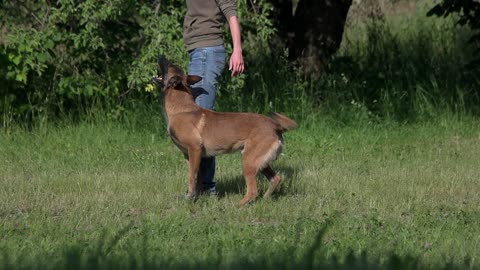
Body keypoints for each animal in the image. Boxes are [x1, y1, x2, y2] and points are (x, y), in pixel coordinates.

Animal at [154, 56, 296, 206]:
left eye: (168, 64)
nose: (160, 57)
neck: (181, 108)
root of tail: (275, 125)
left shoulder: (195, 149)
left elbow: (192, 177)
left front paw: (190, 198)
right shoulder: (189, 155)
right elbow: (195, 177)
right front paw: (193, 196)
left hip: (248, 161)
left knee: (253, 190)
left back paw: (238, 206)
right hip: (260, 162)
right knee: (275, 179)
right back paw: (265, 199)